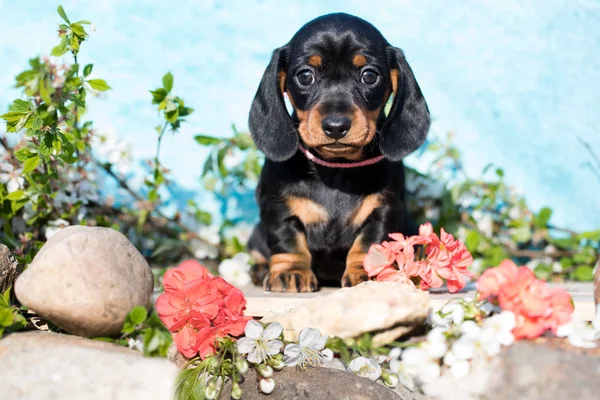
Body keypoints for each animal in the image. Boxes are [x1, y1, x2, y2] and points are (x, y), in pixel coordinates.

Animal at [246, 12, 428, 292]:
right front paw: (290, 271)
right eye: (305, 76)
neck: (336, 169)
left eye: (369, 75)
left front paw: (368, 272)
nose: (335, 126)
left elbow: (370, 244)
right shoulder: (278, 206)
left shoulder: (383, 211)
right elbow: (287, 240)